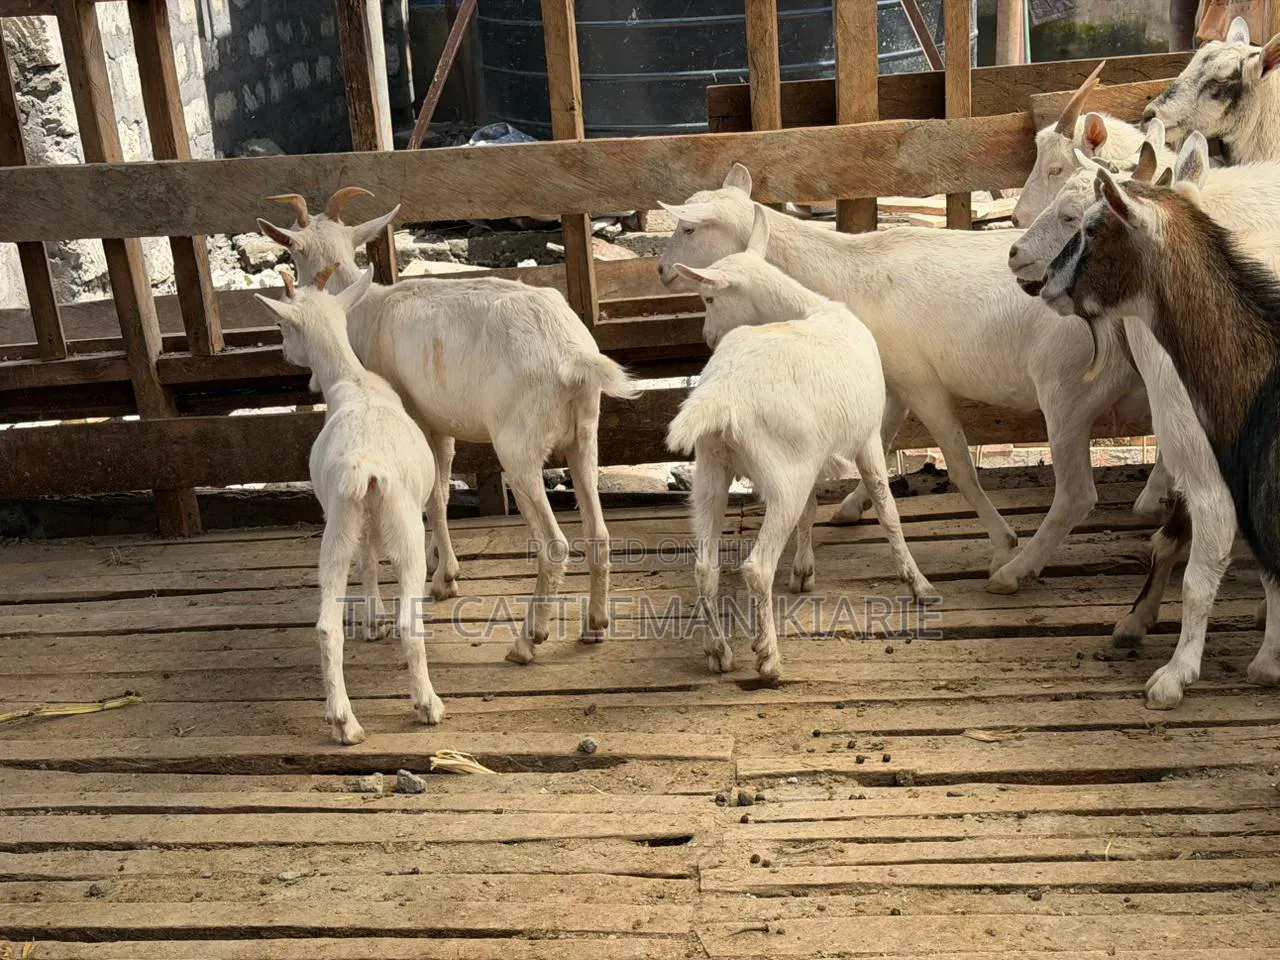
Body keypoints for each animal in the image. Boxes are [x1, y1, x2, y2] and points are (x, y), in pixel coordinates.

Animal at [256, 266, 443, 743]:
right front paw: (378, 620)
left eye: (281, 325)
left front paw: (371, 621)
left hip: (337, 523)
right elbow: (373, 560)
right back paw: (427, 705)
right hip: (402, 523)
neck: (352, 381)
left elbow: (366, 560)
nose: (285, 353)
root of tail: (366, 466)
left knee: (326, 624)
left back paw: (343, 721)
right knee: (409, 621)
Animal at [258, 189, 638, 665]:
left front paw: (442, 580)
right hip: (584, 433)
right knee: (599, 533)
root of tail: (573, 354)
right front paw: (441, 564)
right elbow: (439, 485)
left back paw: (527, 640)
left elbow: (435, 498)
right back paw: (595, 626)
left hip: (519, 446)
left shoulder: (418, 417)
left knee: (555, 544)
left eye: (291, 251)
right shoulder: (443, 424)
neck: (366, 310)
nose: (285, 354)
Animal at [657, 163, 1173, 595]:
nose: (661, 270)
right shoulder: (891, 380)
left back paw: (1014, 570)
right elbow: (882, 444)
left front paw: (1001, 542)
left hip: (1067, 390)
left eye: (688, 228)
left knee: (1076, 495)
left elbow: (960, 467)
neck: (845, 274)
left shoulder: (921, 380)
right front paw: (853, 506)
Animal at [666, 205, 933, 678]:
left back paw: (718, 651)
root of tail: (723, 395)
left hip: (713, 469)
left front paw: (804, 572)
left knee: (704, 566)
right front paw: (917, 583)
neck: (814, 309)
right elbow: (887, 508)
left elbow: (811, 511)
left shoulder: (811, 455)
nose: (707, 338)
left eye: (710, 299)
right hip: (780, 475)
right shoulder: (864, 437)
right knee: (756, 567)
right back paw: (768, 657)